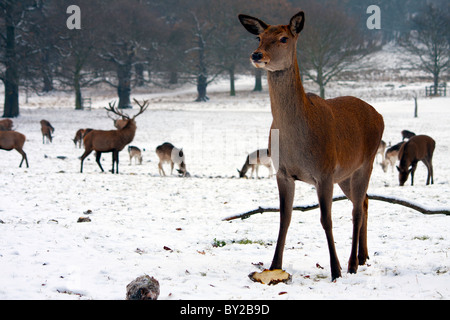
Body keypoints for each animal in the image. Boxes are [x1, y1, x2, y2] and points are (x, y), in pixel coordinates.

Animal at [241, 10, 384, 280]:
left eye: (284, 38)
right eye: (259, 37)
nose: (256, 55)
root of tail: (379, 115)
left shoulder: (324, 172)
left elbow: (326, 219)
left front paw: (335, 270)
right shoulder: (283, 172)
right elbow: (284, 218)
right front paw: (274, 266)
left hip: (365, 163)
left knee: (356, 210)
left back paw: (351, 263)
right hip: (345, 175)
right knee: (365, 201)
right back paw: (363, 256)